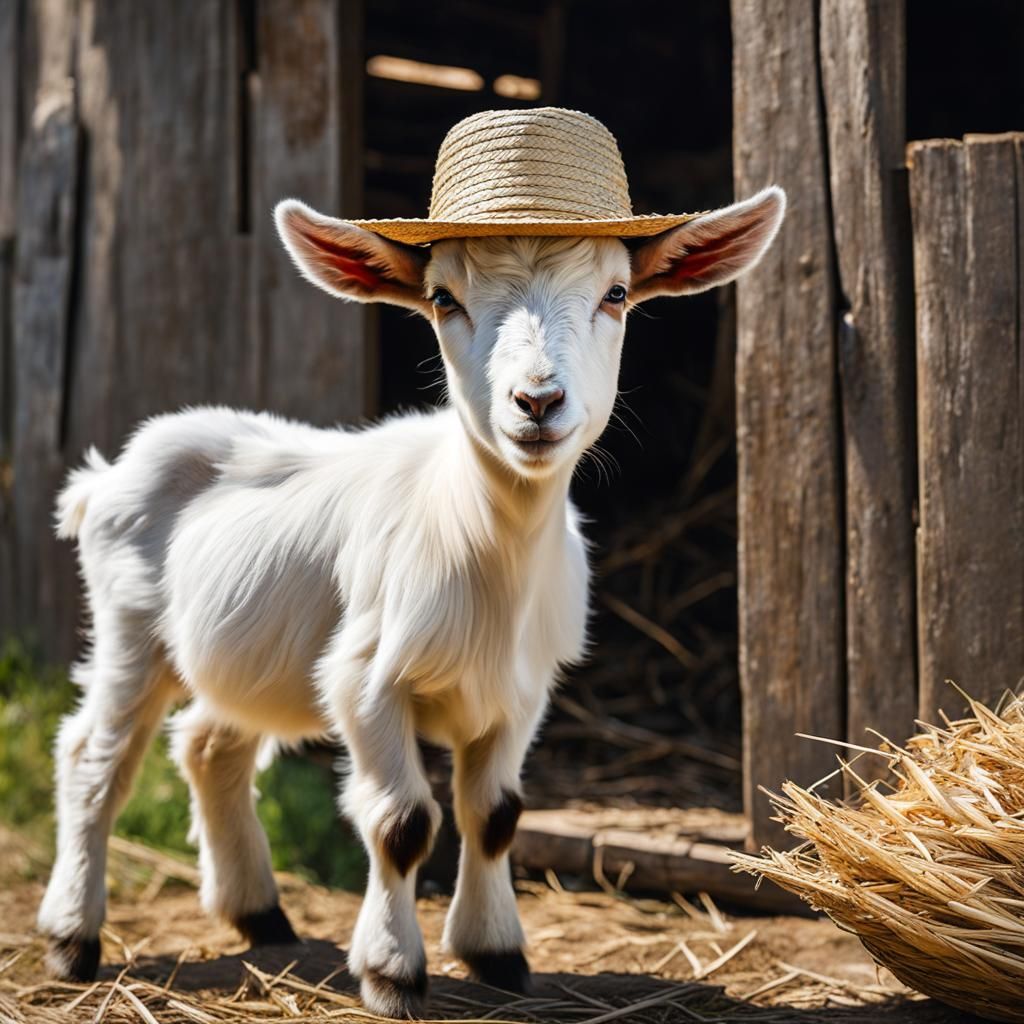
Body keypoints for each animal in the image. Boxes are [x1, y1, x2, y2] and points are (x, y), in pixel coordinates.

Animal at [38, 186, 784, 1018]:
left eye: (616, 294)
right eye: (443, 298)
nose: (537, 402)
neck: (485, 542)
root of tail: (109, 473)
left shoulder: (522, 692)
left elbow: (494, 816)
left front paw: (497, 953)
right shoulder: (366, 680)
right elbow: (403, 822)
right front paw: (392, 970)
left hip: (250, 656)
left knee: (209, 744)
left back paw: (259, 915)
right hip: (129, 630)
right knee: (93, 759)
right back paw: (72, 936)